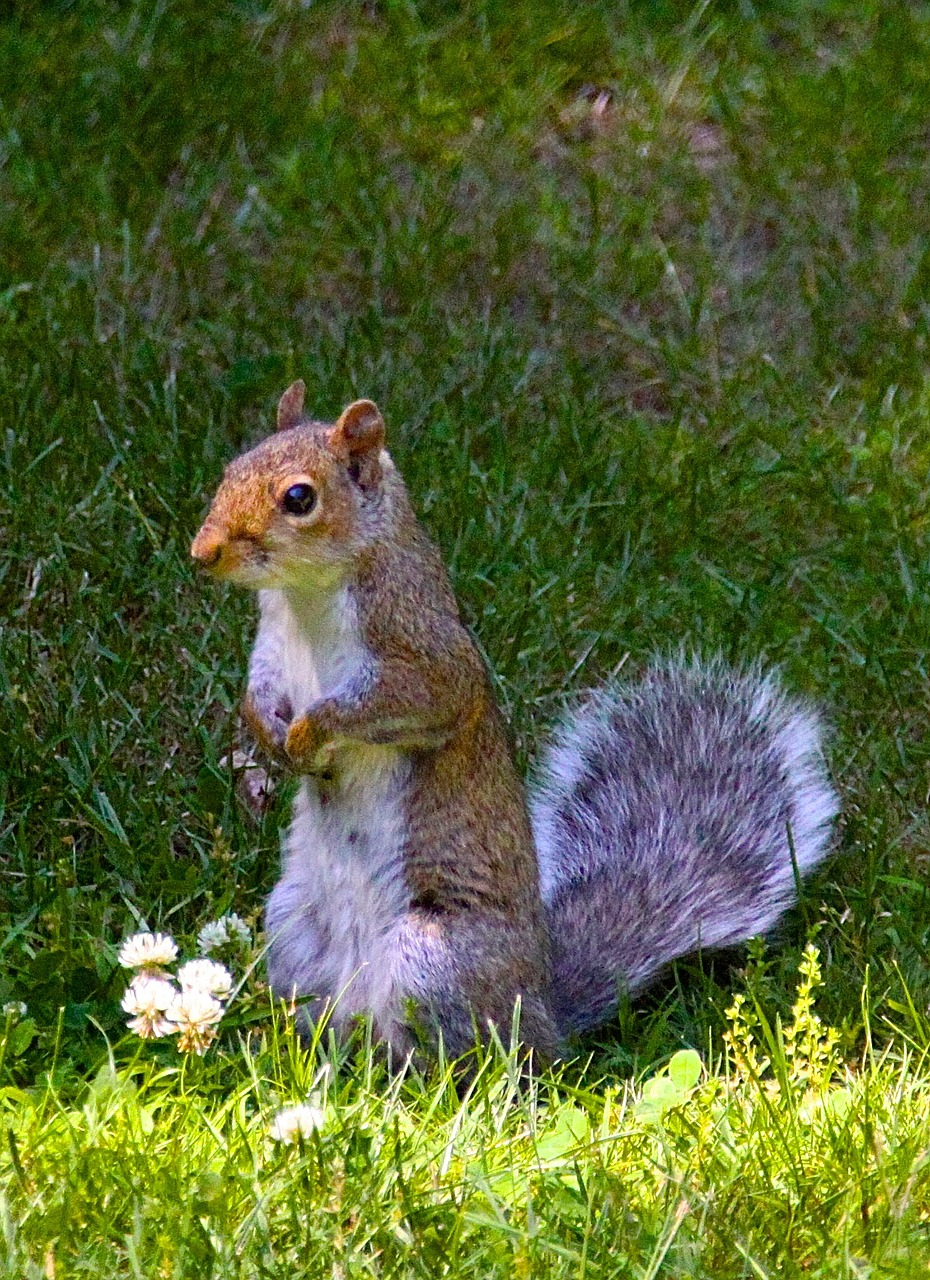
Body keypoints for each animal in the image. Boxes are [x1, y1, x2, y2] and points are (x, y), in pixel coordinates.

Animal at [193, 378, 839, 1059]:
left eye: (299, 498)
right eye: (232, 467)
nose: (202, 551)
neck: (306, 596)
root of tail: (544, 1012)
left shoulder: (422, 650)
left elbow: (405, 702)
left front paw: (311, 730)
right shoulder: (273, 640)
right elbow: (258, 689)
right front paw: (268, 733)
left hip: (431, 959)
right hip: (294, 928)